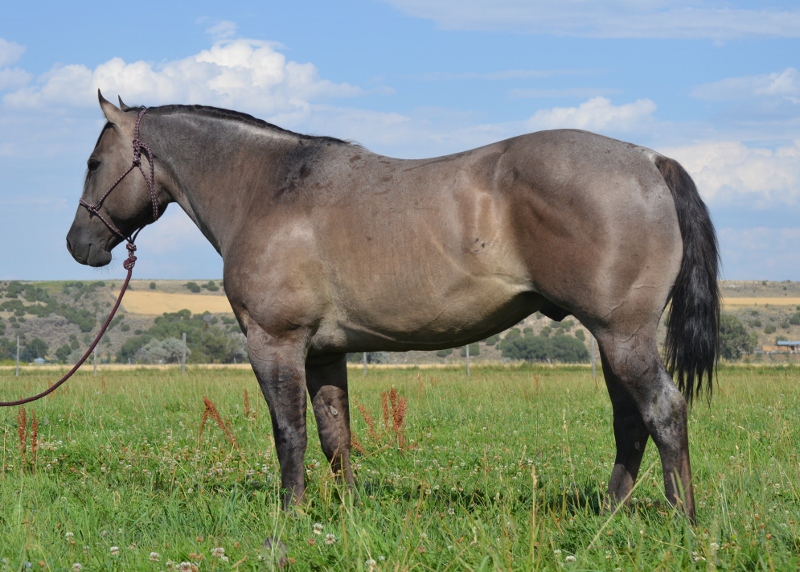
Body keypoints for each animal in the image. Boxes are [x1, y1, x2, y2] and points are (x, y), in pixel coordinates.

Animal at [69, 92, 720, 524]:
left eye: (94, 163)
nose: (80, 244)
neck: (269, 189)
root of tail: (647, 161)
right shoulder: (324, 352)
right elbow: (335, 436)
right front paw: (349, 515)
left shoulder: (275, 341)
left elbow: (289, 432)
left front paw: (289, 516)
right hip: (612, 340)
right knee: (631, 421)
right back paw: (607, 517)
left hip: (622, 335)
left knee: (663, 411)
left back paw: (682, 523)